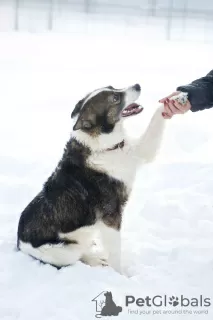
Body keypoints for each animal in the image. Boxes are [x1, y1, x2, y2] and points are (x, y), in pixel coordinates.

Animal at [17, 84, 186, 270]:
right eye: (115, 98)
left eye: (112, 87)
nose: (137, 85)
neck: (104, 146)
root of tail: (19, 244)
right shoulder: (110, 217)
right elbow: (115, 253)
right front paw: (121, 274)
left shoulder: (140, 151)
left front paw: (177, 99)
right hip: (65, 252)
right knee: (79, 257)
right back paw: (95, 261)